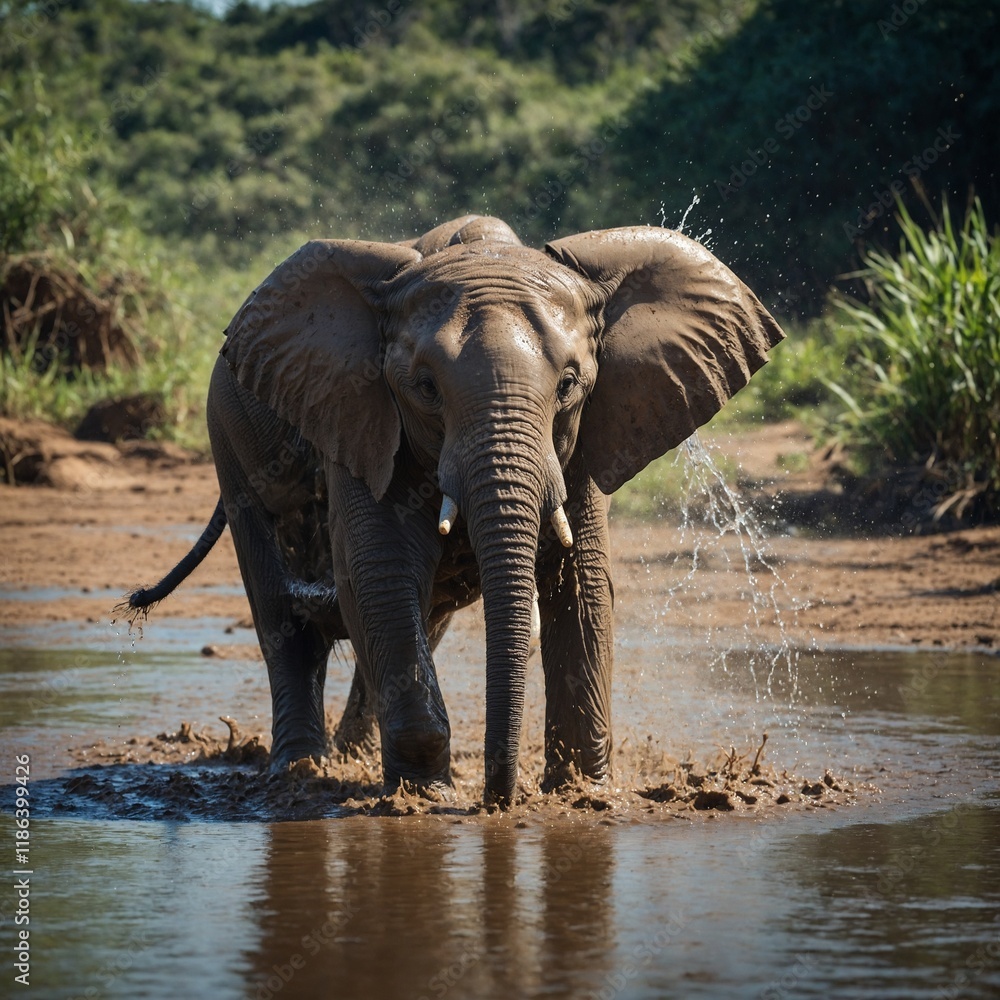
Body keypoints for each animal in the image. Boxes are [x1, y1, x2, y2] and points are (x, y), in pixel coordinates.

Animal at [125, 214, 784, 807]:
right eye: (425, 388)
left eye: (569, 384)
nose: (497, 801)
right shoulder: (361, 414)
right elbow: (381, 573)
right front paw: (425, 799)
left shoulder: (586, 437)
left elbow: (581, 585)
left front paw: (584, 796)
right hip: (227, 439)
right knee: (286, 620)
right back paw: (301, 773)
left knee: (411, 617)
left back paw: (353, 760)